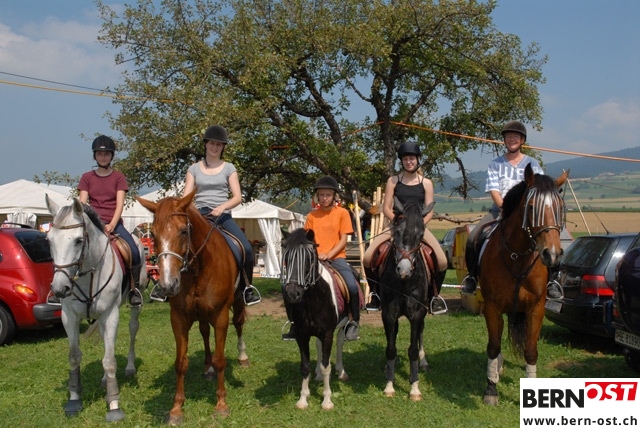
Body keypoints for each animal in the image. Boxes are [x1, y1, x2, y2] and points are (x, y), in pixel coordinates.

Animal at [45, 195, 146, 422]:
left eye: (78, 240)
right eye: (49, 240)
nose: (59, 289)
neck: (88, 274)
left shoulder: (111, 314)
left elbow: (109, 361)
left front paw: (114, 406)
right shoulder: (69, 317)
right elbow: (74, 356)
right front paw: (74, 400)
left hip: (133, 305)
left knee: (133, 329)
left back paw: (129, 367)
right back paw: (104, 379)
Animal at [136, 191, 248, 425]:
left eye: (184, 231)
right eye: (154, 235)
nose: (168, 284)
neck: (199, 267)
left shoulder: (221, 315)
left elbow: (221, 359)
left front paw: (221, 404)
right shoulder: (178, 317)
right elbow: (181, 362)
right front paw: (176, 409)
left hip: (238, 302)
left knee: (239, 324)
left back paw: (243, 357)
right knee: (205, 332)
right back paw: (208, 368)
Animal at [280, 228, 350, 410]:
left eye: (309, 258)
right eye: (286, 258)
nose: (293, 293)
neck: (312, 300)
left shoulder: (327, 333)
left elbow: (327, 366)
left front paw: (327, 400)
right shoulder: (302, 334)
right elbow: (305, 367)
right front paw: (303, 399)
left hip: (343, 325)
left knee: (340, 342)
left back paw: (341, 372)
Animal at [375, 199, 434, 401]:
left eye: (421, 234)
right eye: (397, 231)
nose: (404, 270)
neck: (404, 282)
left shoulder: (417, 314)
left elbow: (413, 350)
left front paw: (414, 388)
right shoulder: (389, 314)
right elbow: (391, 348)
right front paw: (389, 386)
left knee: (421, 333)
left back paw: (424, 362)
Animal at [478, 163, 567, 405]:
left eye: (560, 208)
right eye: (531, 207)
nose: (552, 254)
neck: (517, 257)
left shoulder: (536, 308)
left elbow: (530, 350)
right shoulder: (492, 307)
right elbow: (493, 346)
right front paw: (491, 389)